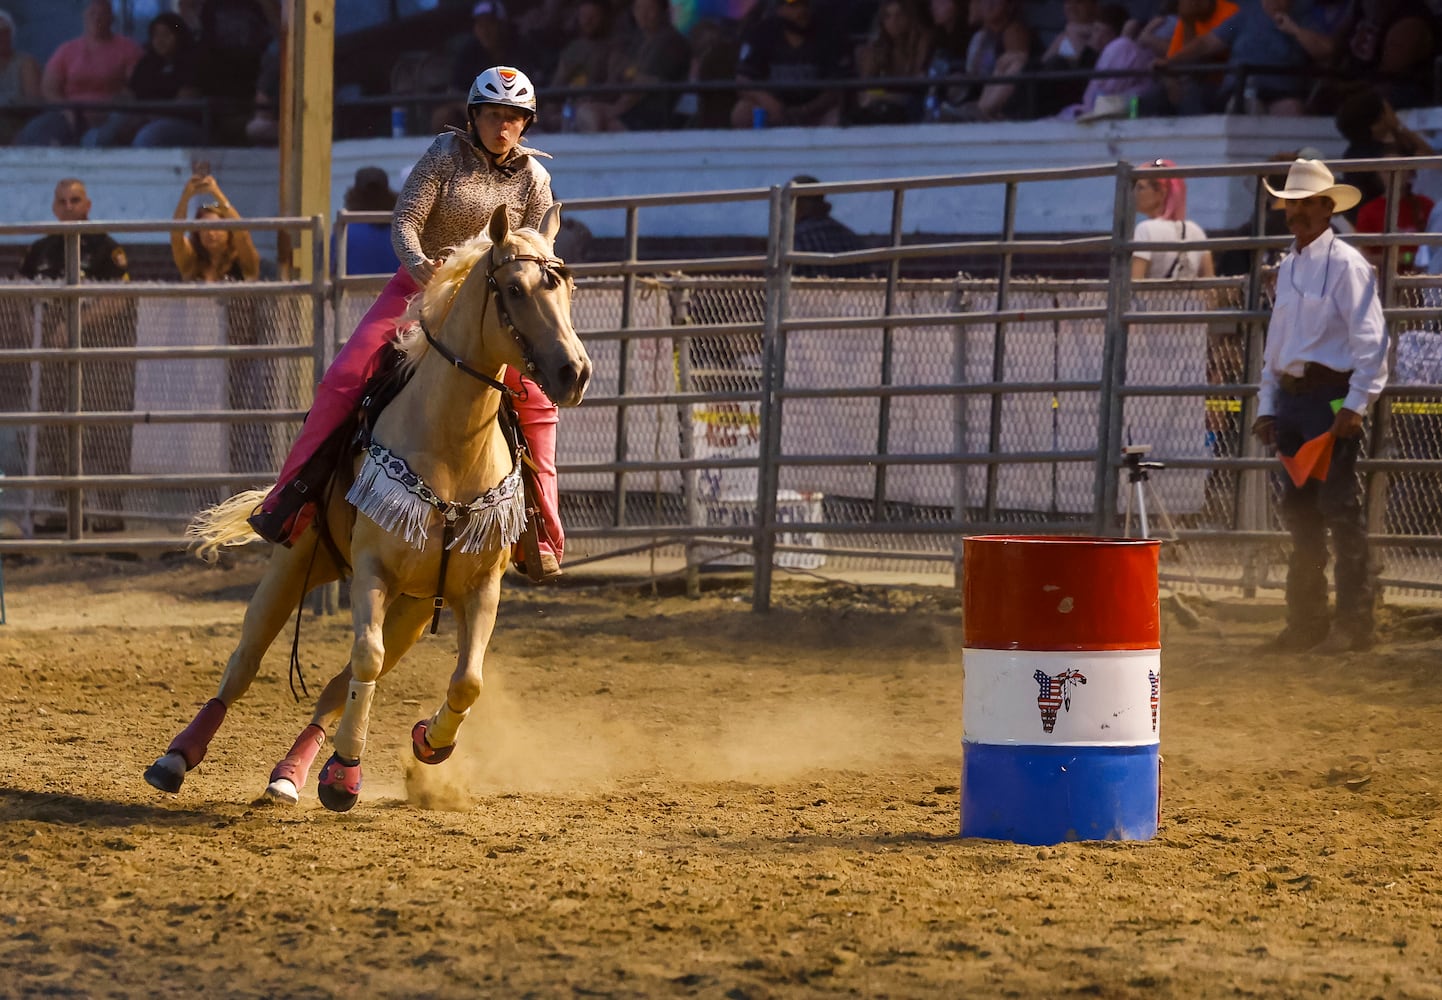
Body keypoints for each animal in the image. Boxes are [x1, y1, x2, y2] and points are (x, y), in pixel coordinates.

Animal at [144, 203, 591, 813]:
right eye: (516, 289)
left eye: (566, 286)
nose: (575, 372)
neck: (451, 447)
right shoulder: (373, 571)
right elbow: (366, 658)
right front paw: (346, 774)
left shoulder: (481, 587)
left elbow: (465, 680)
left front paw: (427, 743)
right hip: (297, 563)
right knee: (245, 664)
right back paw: (176, 758)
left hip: (410, 607)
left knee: (333, 686)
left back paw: (289, 775)